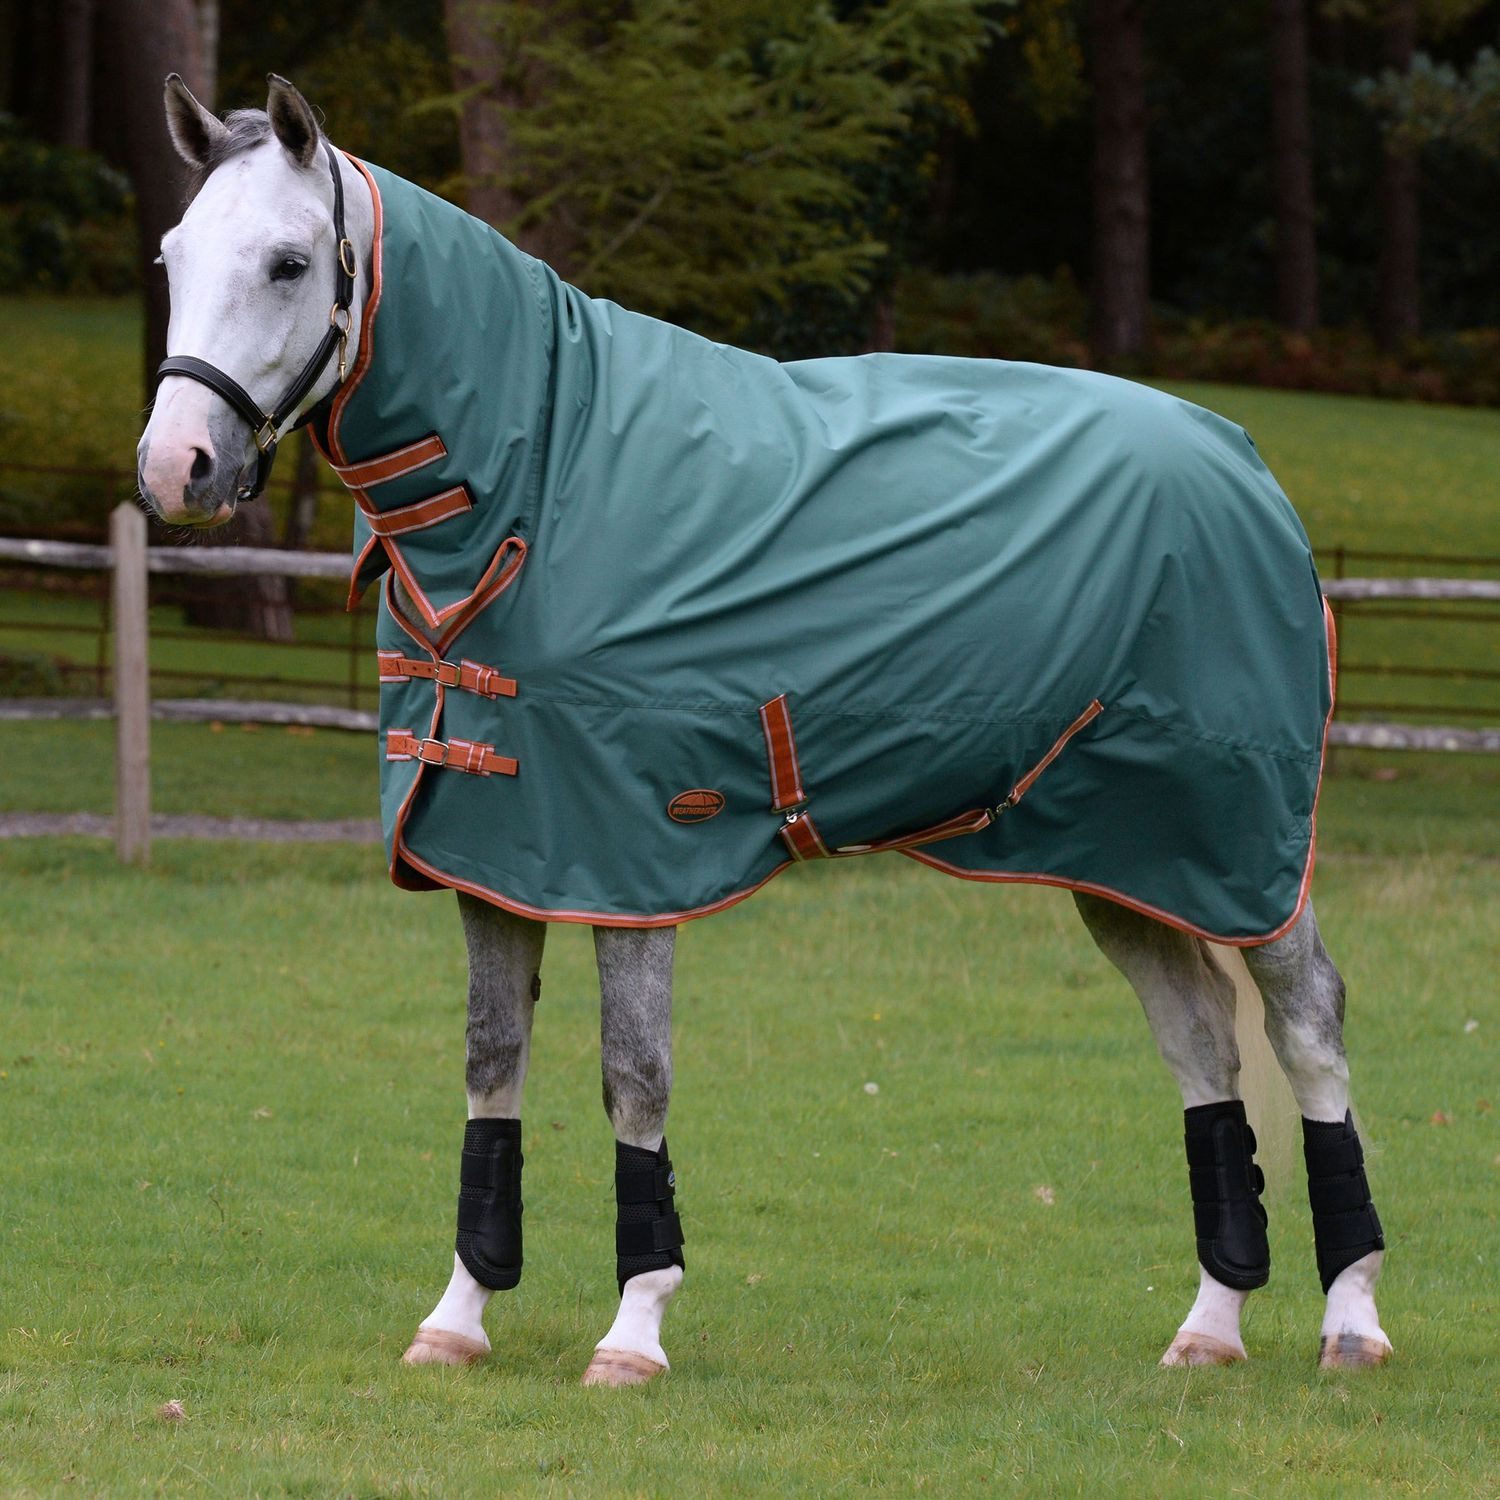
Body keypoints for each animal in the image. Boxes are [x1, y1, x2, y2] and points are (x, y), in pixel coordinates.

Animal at [135, 75, 1392, 1385]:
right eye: (172, 256)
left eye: (287, 262)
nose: (175, 469)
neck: (547, 483)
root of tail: (1246, 465)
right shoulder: (493, 852)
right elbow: (490, 1068)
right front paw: (459, 1317)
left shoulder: (627, 861)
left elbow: (634, 1078)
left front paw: (633, 1332)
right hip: (1124, 859)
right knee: (1201, 1045)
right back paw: (1212, 1323)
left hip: (1244, 848)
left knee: (1308, 1025)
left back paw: (1352, 1319)